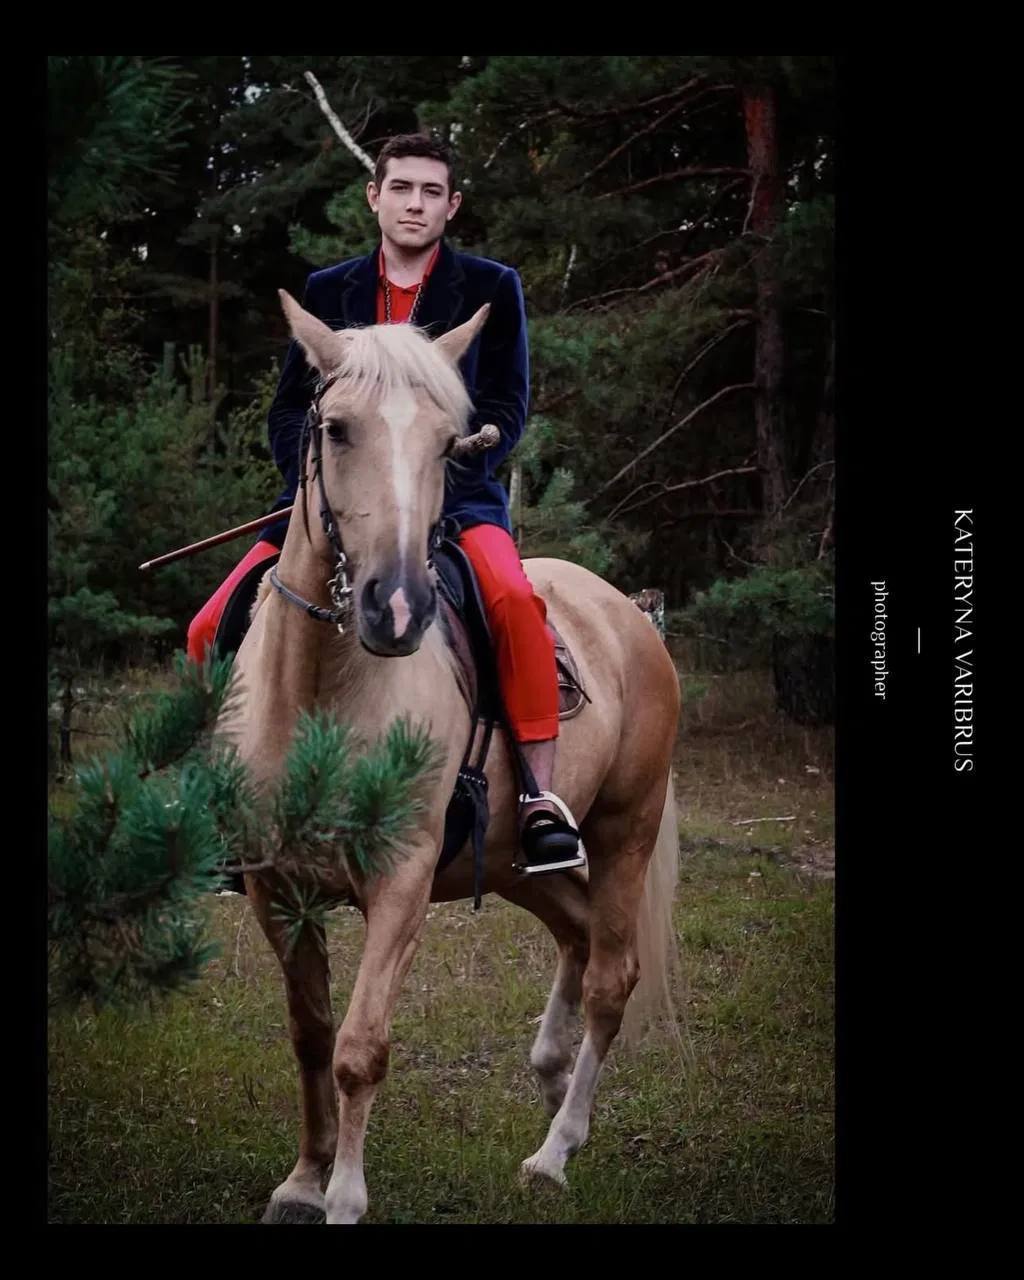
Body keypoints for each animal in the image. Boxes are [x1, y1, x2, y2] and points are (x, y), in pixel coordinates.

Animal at [216, 291, 683, 1225]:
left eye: (447, 443)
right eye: (336, 429)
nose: (395, 608)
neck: (322, 694)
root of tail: (630, 615)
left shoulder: (399, 885)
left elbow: (359, 1046)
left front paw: (344, 1197)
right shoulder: (276, 888)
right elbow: (310, 1034)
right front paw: (303, 1180)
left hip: (626, 830)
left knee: (612, 976)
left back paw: (555, 1149)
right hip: (506, 861)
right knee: (576, 933)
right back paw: (550, 1077)